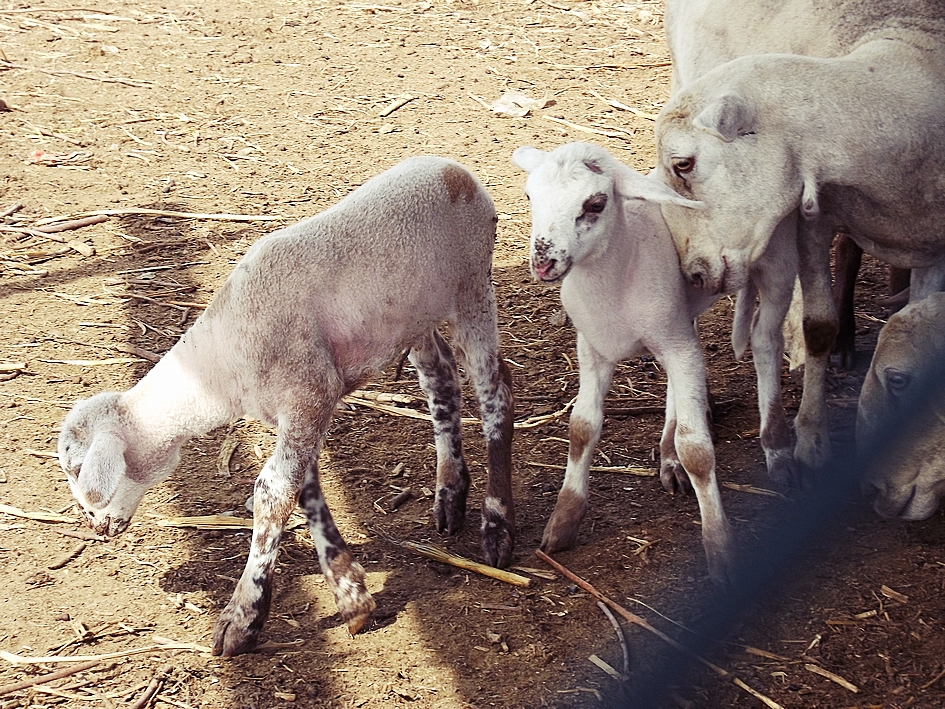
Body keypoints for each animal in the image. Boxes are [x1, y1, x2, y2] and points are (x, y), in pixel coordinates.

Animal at [57, 156, 516, 660]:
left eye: (79, 469)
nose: (97, 527)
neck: (219, 365)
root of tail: (456, 172)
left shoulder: (308, 393)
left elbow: (272, 494)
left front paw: (244, 618)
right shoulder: (298, 414)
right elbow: (305, 493)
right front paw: (350, 593)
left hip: (473, 288)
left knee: (496, 395)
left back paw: (497, 525)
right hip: (414, 314)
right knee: (442, 379)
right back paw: (450, 493)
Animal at [508, 142, 736, 580]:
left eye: (595, 204)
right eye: (528, 196)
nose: (543, 262)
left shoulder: (676, 343)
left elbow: (697, 451)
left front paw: (720, 548)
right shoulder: (592, 346)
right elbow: (581, 428)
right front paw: (562, 524)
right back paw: (669, 454)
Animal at [652, 5, 944, 472]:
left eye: (683, 163)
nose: (693, 274)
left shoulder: (932, 241)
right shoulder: (815, 222)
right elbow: (819, 326)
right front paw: (812, 441)